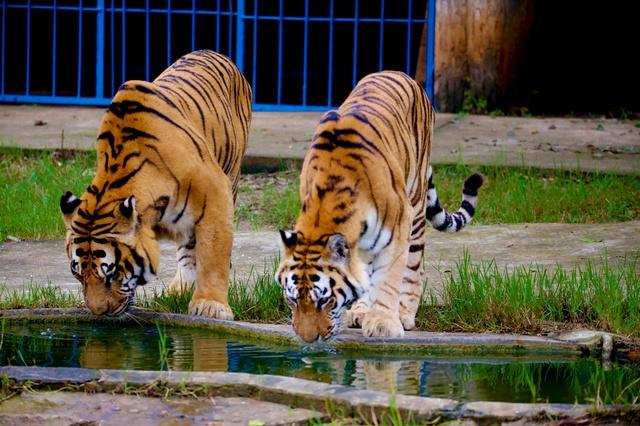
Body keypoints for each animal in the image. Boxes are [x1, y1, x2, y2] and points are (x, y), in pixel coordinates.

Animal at [58, 50, 251, 318]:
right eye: (77, 274)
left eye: (111, 273)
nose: (100, 312)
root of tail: (211, 52)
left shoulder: (215, 195)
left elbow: (214, 253)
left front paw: (211, 306)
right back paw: (180, 289)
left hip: (232, 173)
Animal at [274, 70, 480, 342]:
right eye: (293, 300)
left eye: (325, 300)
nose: (308, 339)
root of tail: (397, 72)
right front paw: (367, 313)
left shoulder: (398, 227)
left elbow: (388, 279)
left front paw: (383, 323)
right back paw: (361, 311)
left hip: (415, 207)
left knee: (415, 267)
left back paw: (404, 313)